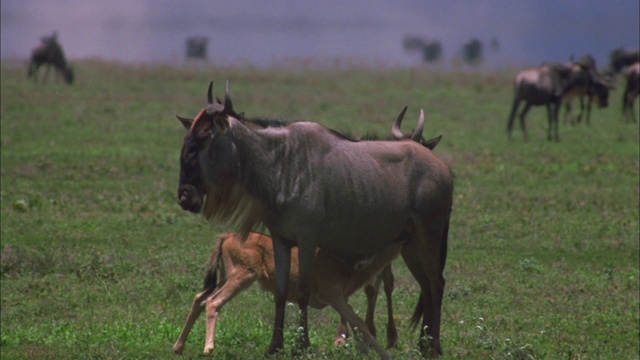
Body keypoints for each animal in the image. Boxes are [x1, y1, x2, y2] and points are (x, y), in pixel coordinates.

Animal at [171, 233, 400, 358]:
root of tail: (226, 237)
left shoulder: (338, 298)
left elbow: (357, 324)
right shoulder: (333, 295)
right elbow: (359, 323)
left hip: (223, 278)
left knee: (199, 298)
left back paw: (178, 347)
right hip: (241, 277)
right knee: (213, 302)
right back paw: (208, 348)